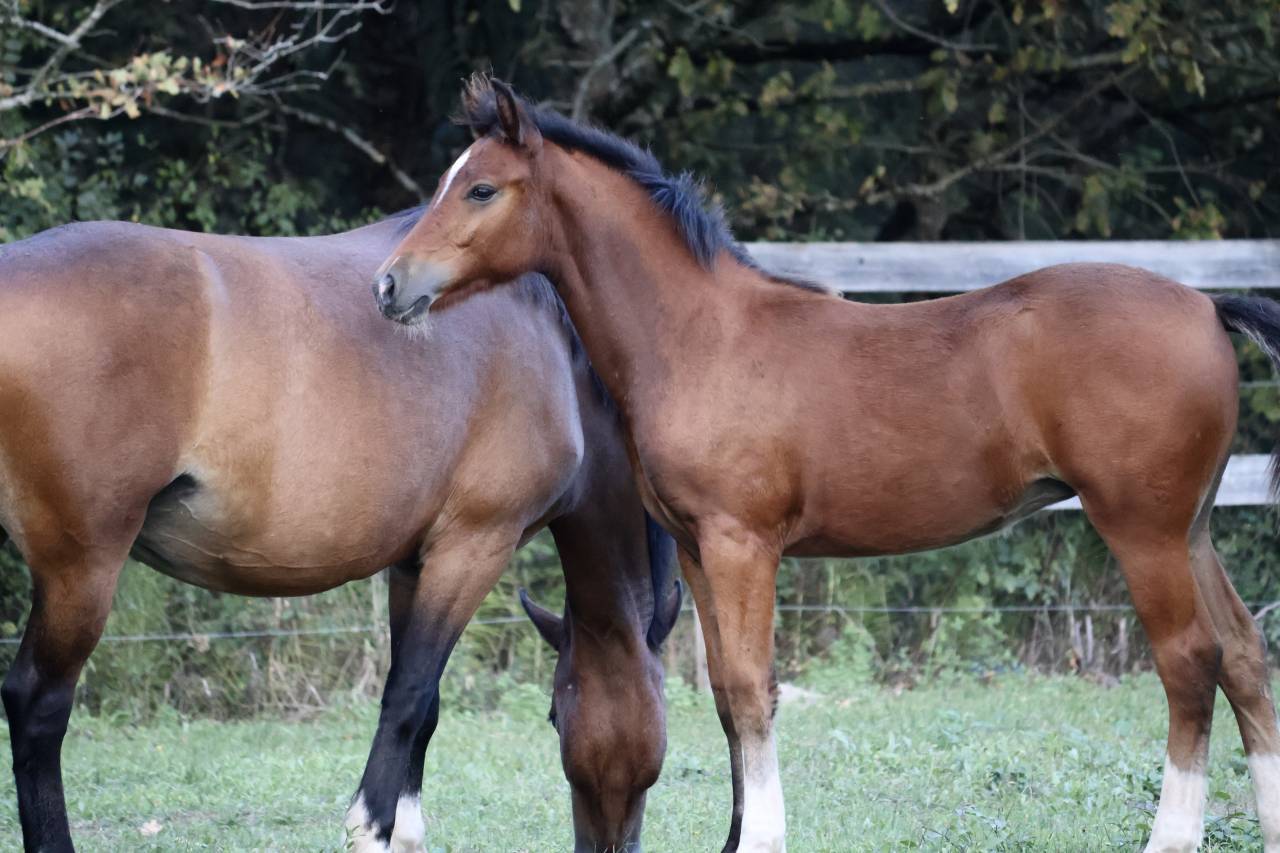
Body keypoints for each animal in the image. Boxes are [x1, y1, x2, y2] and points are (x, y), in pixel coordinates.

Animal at [0, 210, 679, 852]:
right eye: (556, 718)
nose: (613, 845)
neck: (550, 347)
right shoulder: (474, 546)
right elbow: (408, 697)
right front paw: (371, 831)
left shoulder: (416, 560)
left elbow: (425, 704)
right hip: (83, 568)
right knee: (37, 704)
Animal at [371, 74, 1280, 853]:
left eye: (480, 189)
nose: (389, 285)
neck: (701, 338)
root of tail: (1207, 305)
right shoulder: (699, 548)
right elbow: (727, 697)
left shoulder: (744, 544)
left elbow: (752, 689)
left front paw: (762, 840)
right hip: (1191, 527)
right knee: (1243, 653)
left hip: (1142, 528)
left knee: (1190, 662)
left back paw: (1172, 834)